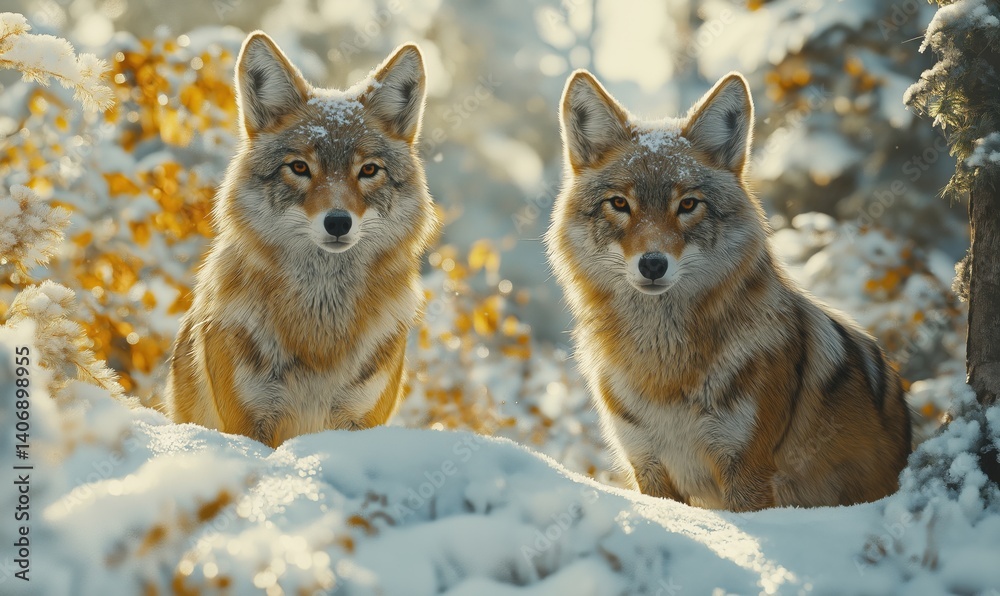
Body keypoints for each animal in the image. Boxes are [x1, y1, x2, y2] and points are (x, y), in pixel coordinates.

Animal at [164, 32, 439, 447]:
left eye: (368, 170)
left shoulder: (359, 423)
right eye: (299, 167)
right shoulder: (248, 425)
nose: (338, 222)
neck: (318, 335)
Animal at [546, 70, 912, 510]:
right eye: (619, 203)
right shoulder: (648, 468)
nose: (652, 264)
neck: (664, 371)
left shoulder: (748, 471)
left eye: (688, 205)